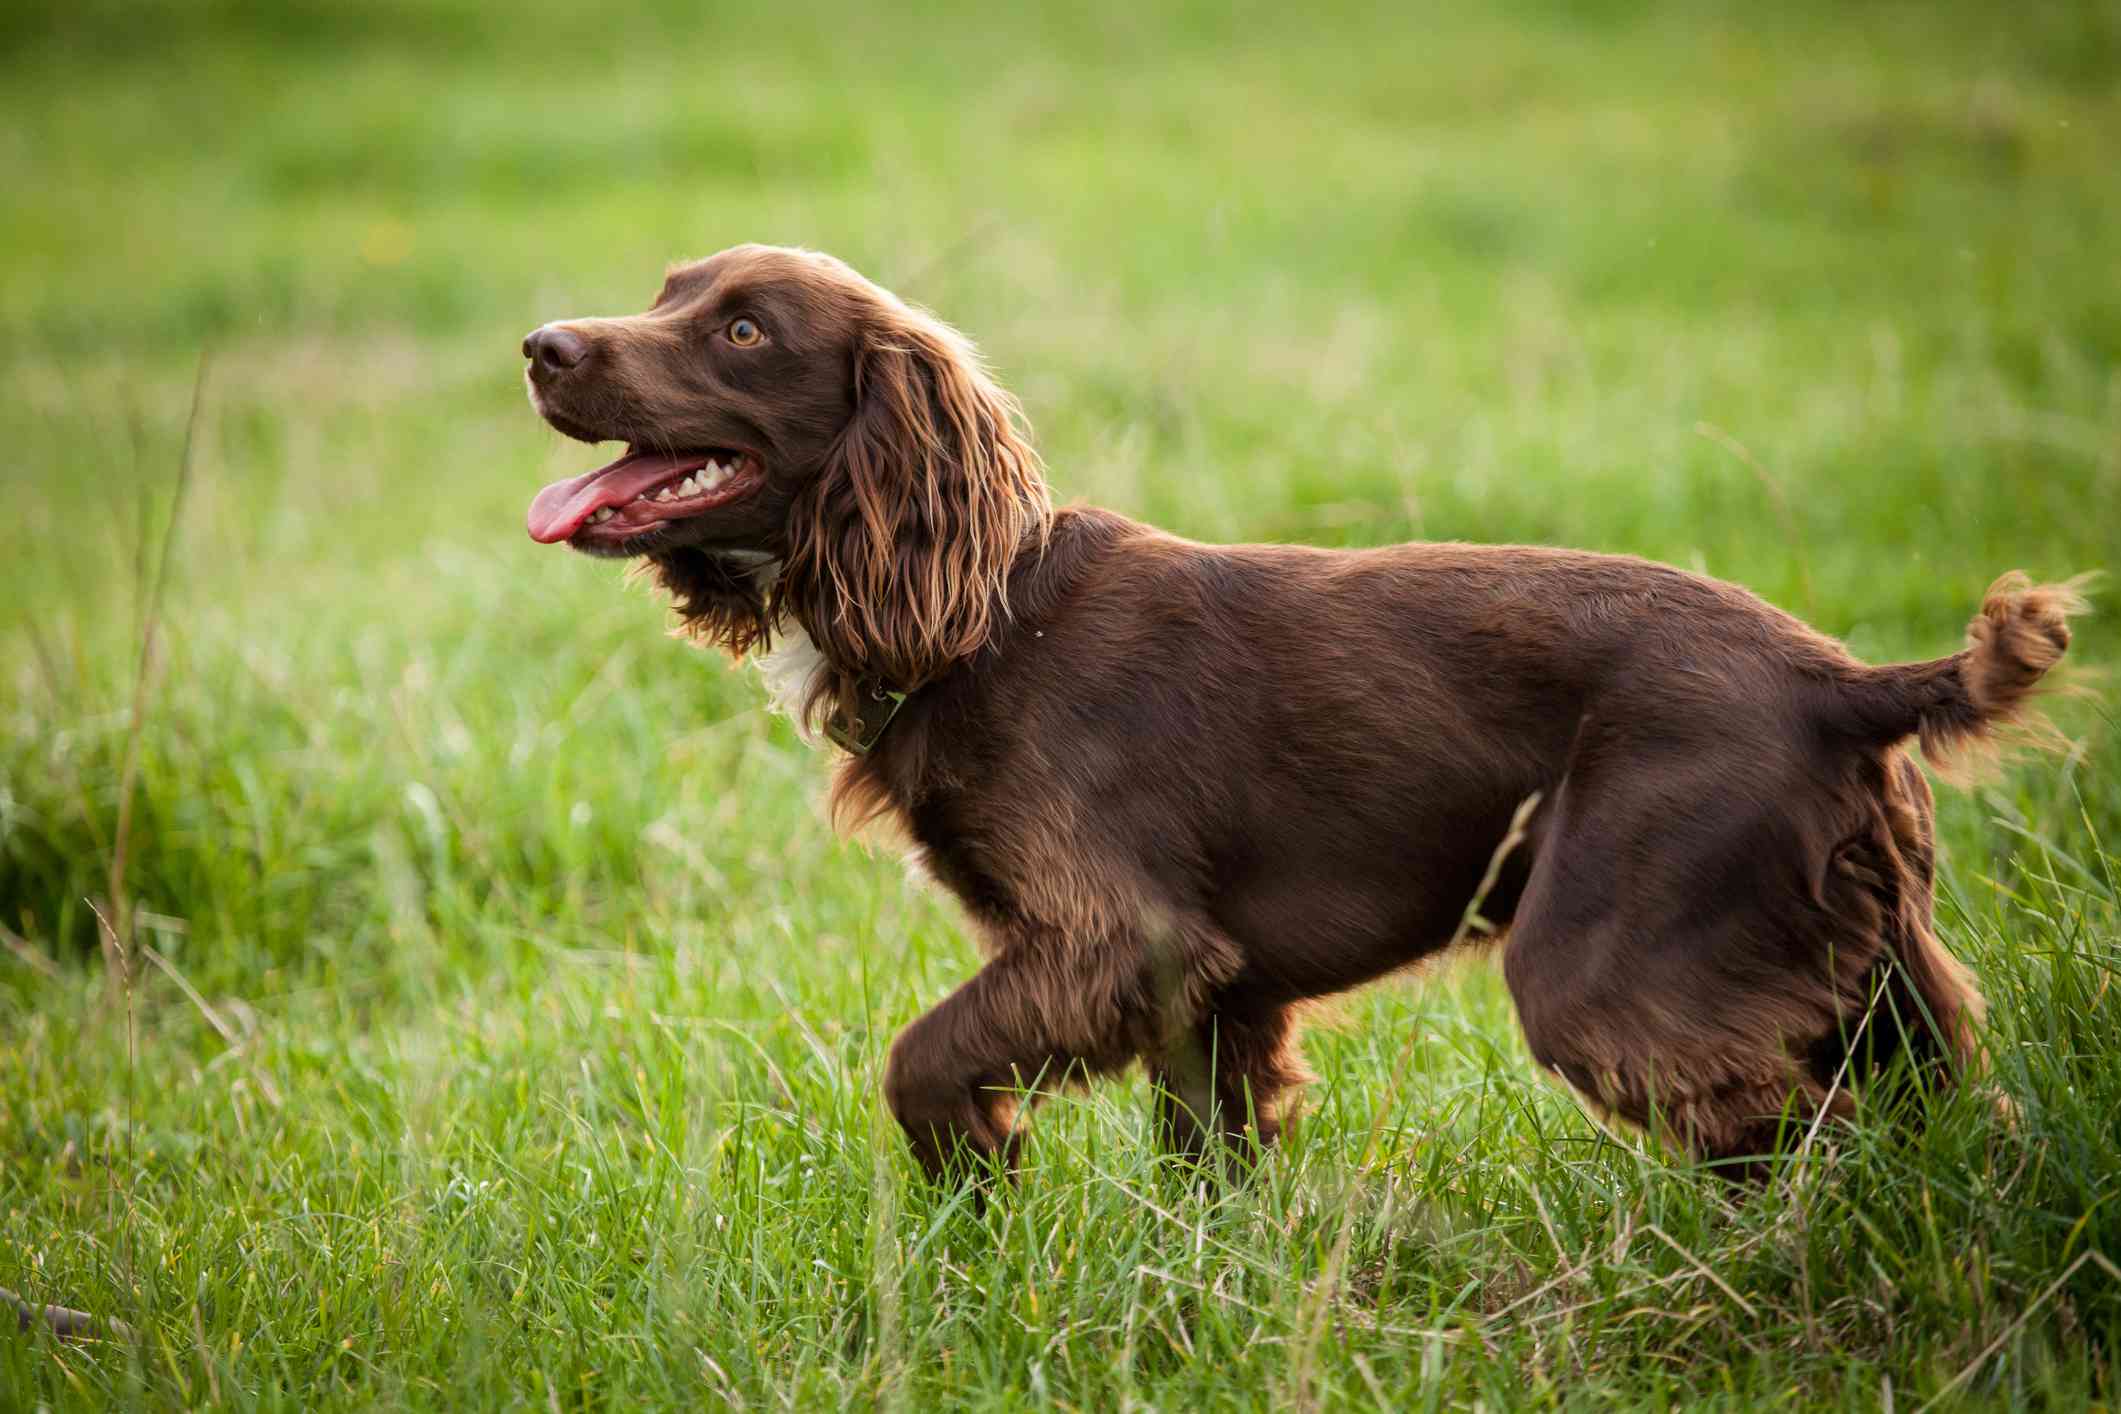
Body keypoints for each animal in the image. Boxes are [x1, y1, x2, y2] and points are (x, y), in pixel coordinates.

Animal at [521, 245, 2078, 1187]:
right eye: (668, 289)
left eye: (740, 328)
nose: (539, 344)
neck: (985, 616)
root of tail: (1841, 682)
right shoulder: (1211, 994)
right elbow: (1204, 1167)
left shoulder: (1118, 938)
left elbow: (919, 1058)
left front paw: (982, 1186)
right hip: (1879, 972)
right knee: (1943, 1118)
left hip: (1613, 965)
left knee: (1800, 1141)